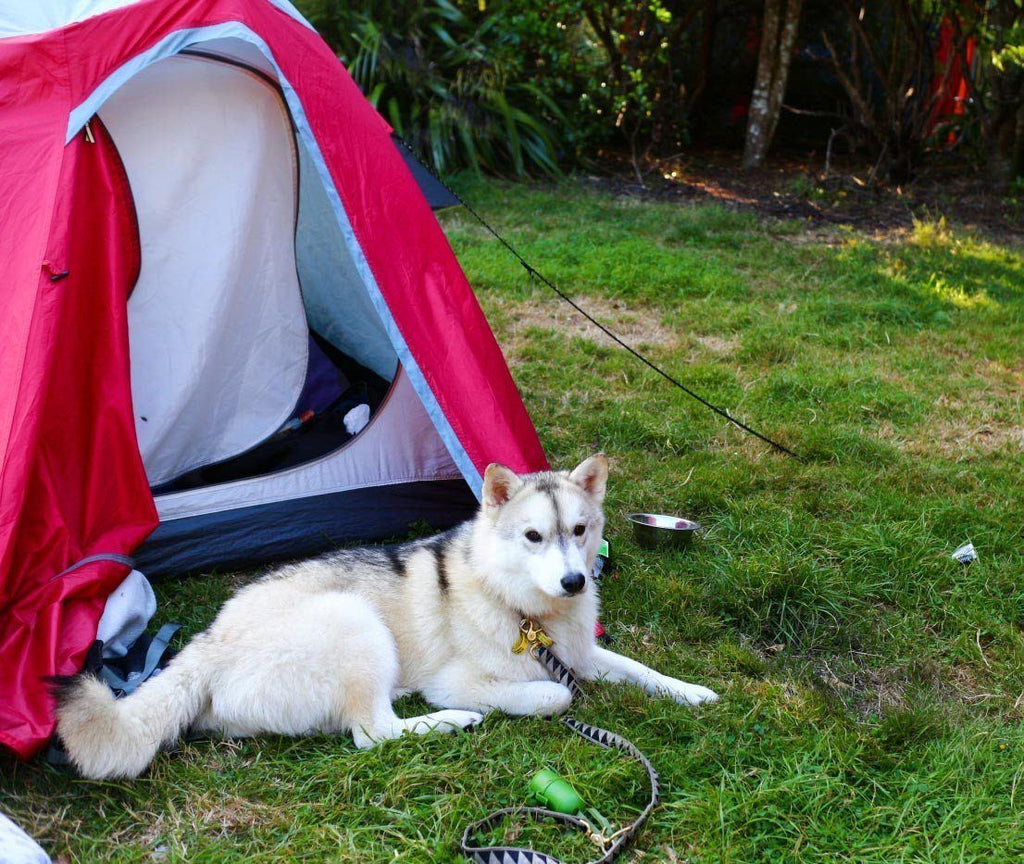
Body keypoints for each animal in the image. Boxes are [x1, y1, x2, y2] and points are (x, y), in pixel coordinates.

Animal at [54, 456, 712, 778]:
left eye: (579, 530)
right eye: (533, 536)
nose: (575, 581)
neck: (527, 610)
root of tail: (210, 641)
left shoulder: (584, 654)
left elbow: (640, 670)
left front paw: (692, 692)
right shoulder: (462, 677)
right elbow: (558, 695)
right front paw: (507, 704)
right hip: (357, 622)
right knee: (373, 732)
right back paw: (451, 722)